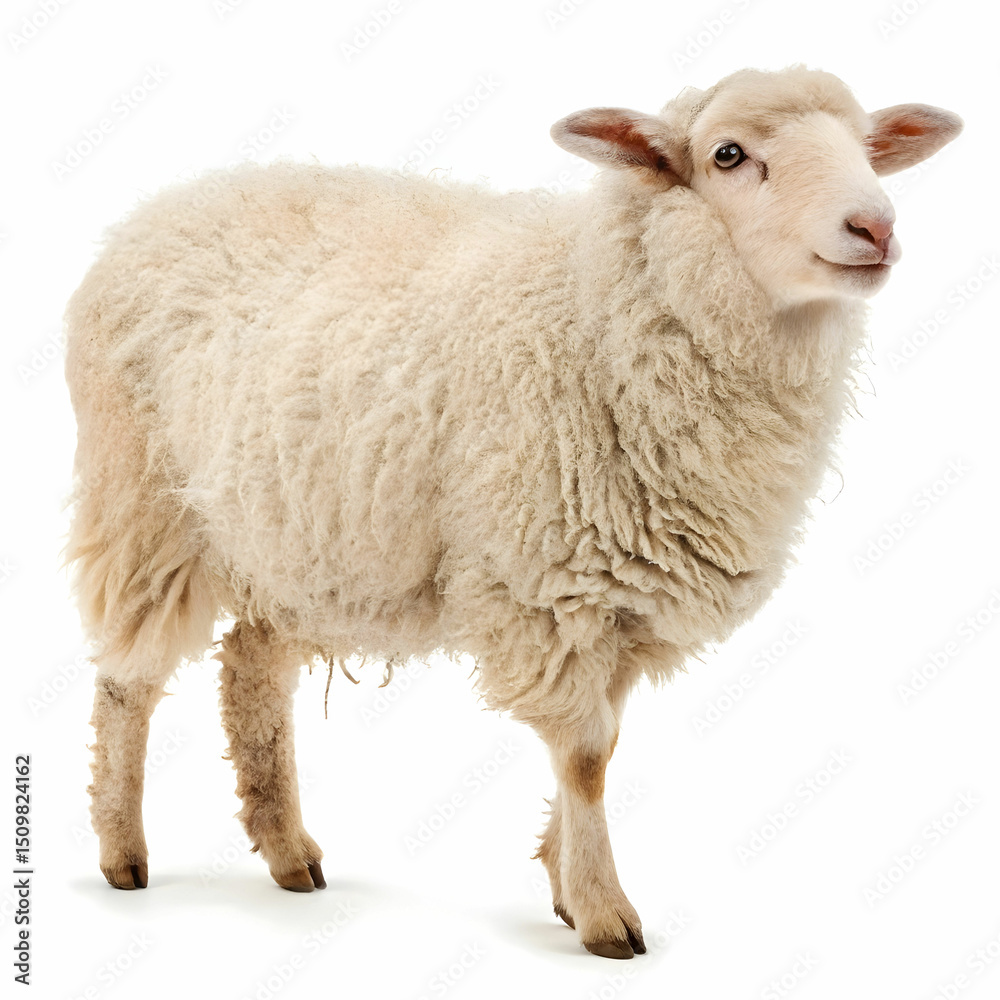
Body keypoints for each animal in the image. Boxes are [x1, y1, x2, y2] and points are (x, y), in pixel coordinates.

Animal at [63, 65, 961, 959]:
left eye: (866, 146)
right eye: (729, 155)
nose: (875, 225)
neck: (597, 311)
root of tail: (161, 207)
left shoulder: (619, 595)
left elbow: (601, 746)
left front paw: (566, 884)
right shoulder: (551, 584)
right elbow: (587, 756)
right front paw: (604, 911)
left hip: (295, 540)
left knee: (249, 668)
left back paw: (287, 850)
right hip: (142, 500)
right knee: (127, 681)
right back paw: (121, 850)